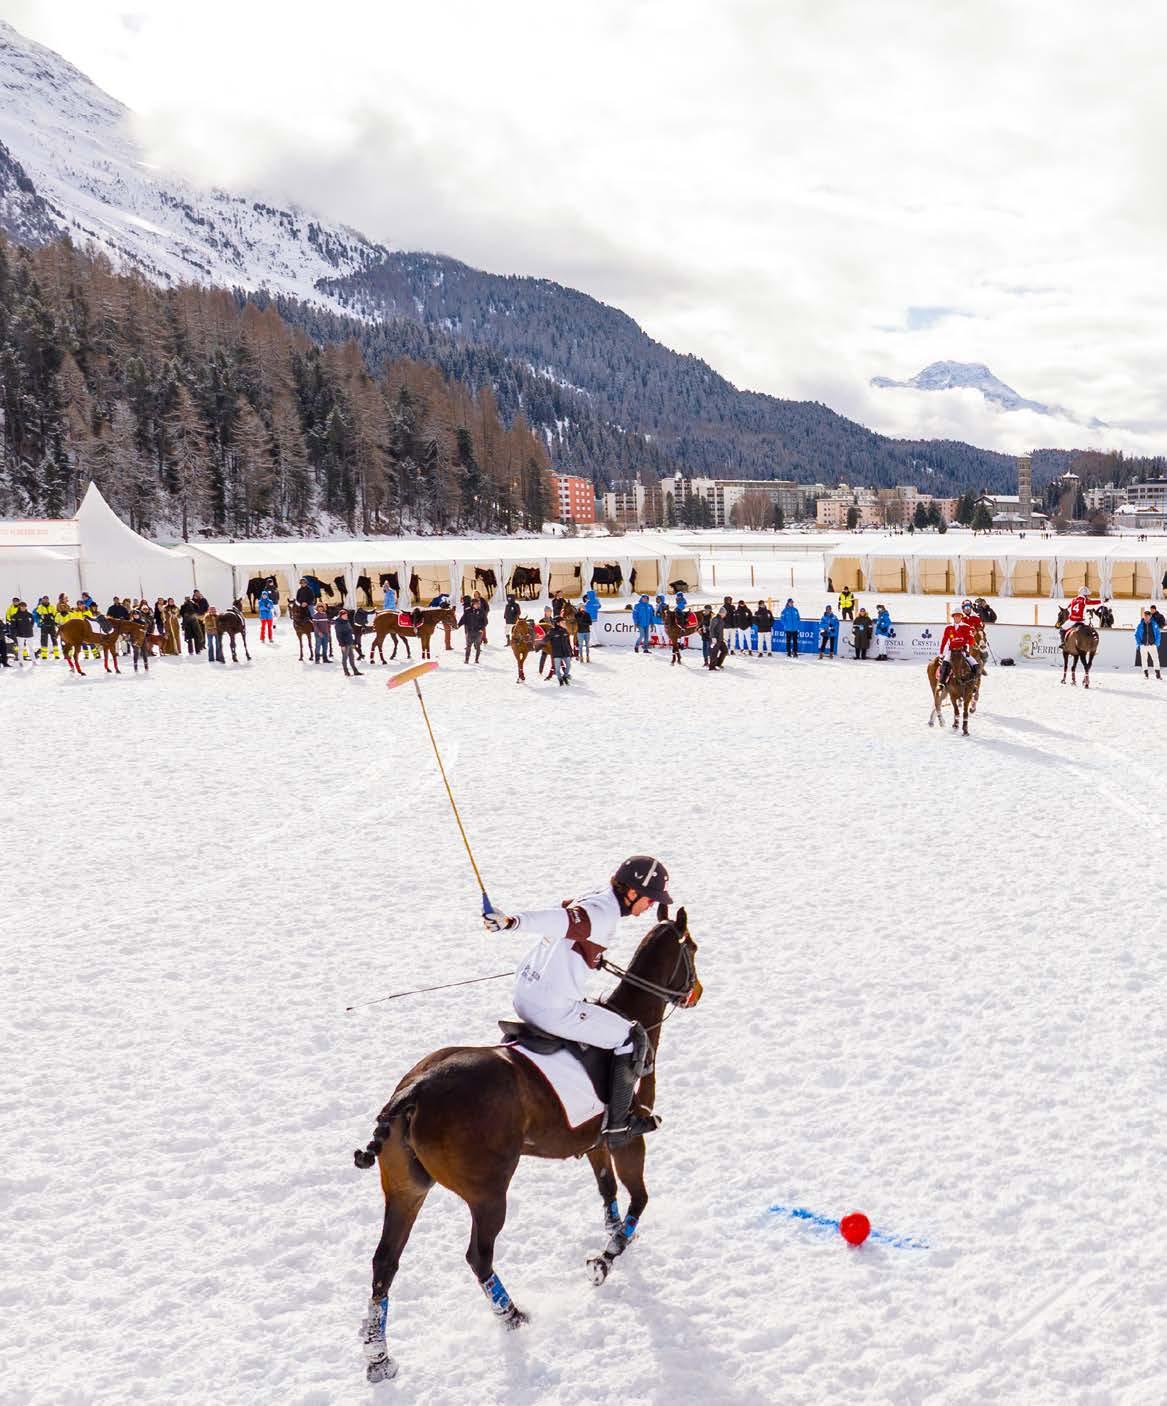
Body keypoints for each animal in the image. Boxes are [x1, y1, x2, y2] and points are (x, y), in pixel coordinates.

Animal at [351, 908, 702, 1384]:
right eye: (694, 950)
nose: (696, 992)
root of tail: (414, 1090)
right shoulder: (628, 1138)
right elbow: (639, 1197)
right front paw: (607, 1258)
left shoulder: (594, 1141)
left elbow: (607, 1189)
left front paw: (612, 1234)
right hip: (487, 1192)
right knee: (478, 1255)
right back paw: (512, 1315)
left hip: (406, 1189)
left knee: (384, 1263)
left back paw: (379, 1356)